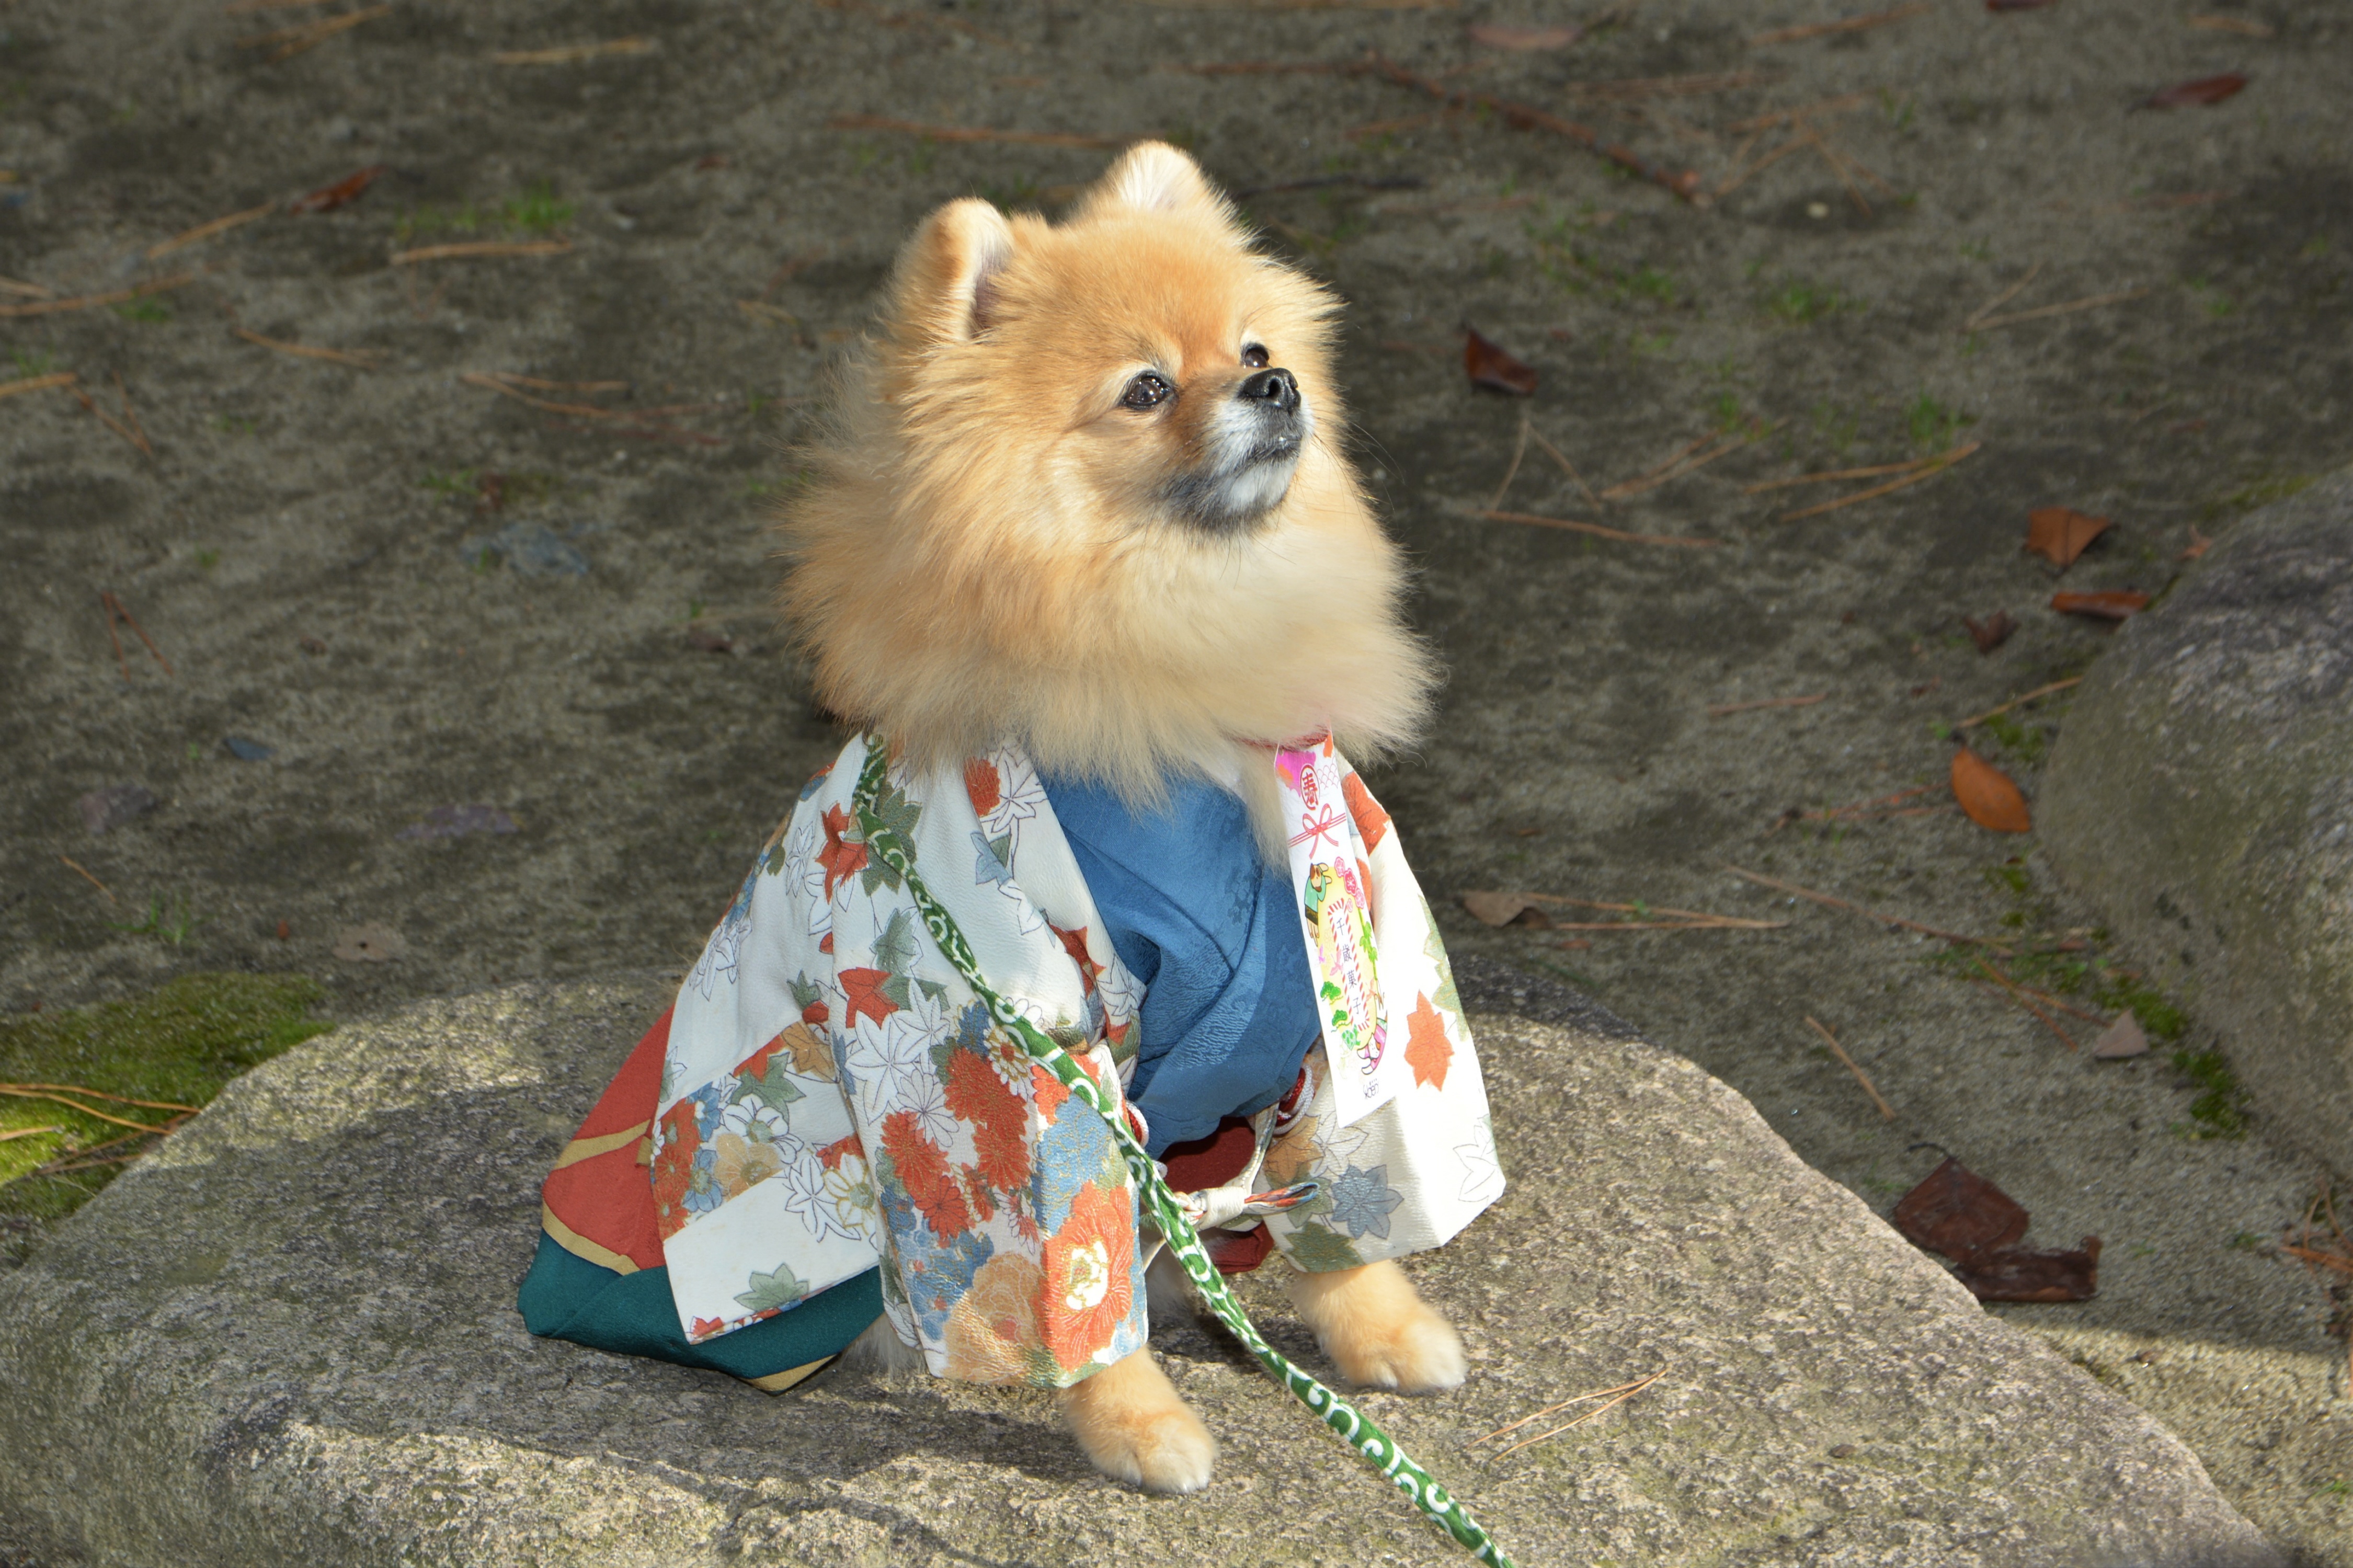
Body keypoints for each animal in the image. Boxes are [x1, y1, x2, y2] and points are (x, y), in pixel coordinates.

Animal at [781, 137, 1459, 1487]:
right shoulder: (1026, 1043)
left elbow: (1340, 1202)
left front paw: (1379, 1326)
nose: (1276, 388)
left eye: (1253, 349)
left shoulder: (1330, 996)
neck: (1180, 632)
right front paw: (1138, 1424)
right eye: (1144, 390)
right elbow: (1074, 1266)